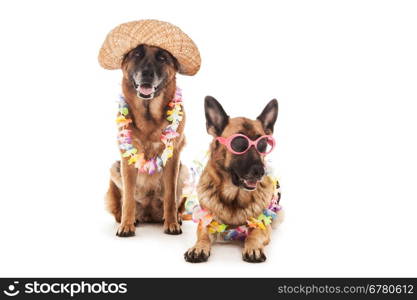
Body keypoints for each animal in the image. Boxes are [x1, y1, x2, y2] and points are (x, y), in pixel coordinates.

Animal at [184, 96, 280, 262]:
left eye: (262, 144)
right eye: (239, 143)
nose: (260, 172)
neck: (234, 197)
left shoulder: (262, 223)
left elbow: (254, 234)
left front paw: (253, 247)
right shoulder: (206, 221)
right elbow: (203, 235)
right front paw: (198, 247)